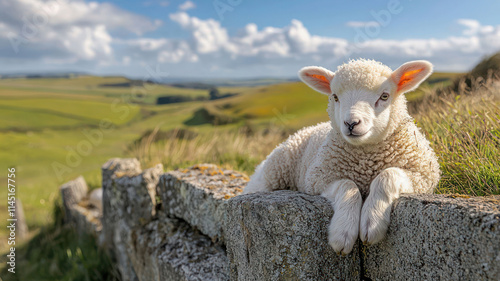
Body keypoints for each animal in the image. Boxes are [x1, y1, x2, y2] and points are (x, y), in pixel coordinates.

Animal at [242, 58, 442, 254]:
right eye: (335, 97)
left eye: (384, 96)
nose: (351, 123)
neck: (366, 161)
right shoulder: (319, 179)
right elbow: (348, 186)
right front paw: (343, 232)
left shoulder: (423, 176)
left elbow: (387, 175)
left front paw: (372, 221)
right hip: (275, 170)